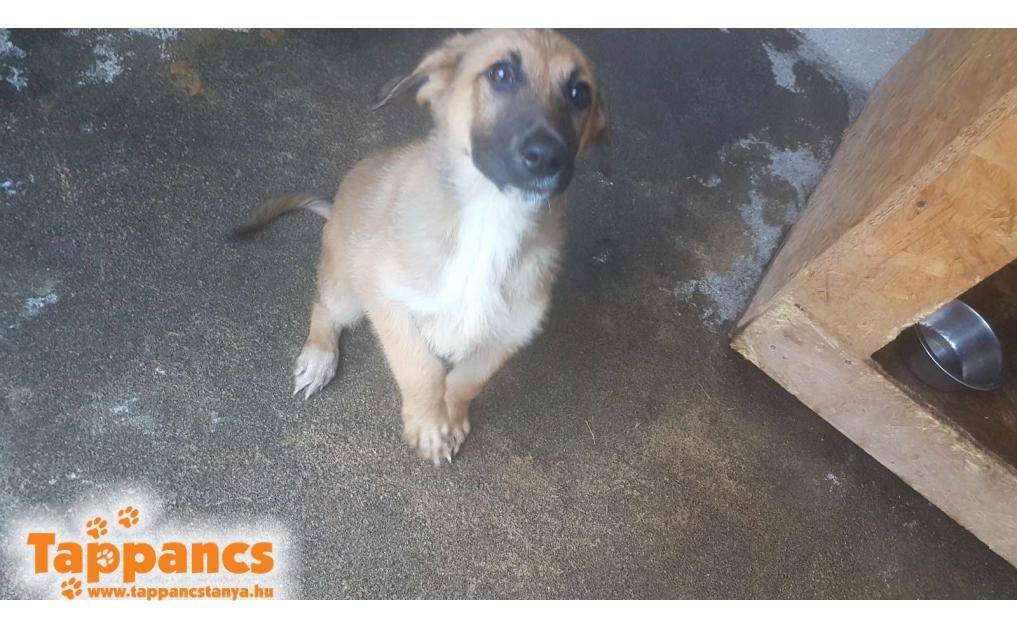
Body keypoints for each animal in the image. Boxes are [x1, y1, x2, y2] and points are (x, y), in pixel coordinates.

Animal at [239, 29, 608, 464]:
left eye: (580, 94)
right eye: (501, 73)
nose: (549, 157)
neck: (489, 216)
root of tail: (334, 209)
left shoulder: (511, 330)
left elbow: (467, 379)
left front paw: (452, 418)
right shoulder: (385, 298)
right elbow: (422, 369)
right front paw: (430, 428)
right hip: (346, 291)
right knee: (323, 307)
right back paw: (319, 359)